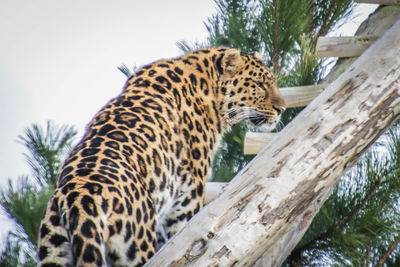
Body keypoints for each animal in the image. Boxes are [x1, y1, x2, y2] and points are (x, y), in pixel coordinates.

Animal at [37, 47, 286, 266]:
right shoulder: (188, 193)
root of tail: (78, 196)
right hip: (133, 246)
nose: (282, 109)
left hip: (54, 250)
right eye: (260, 85)